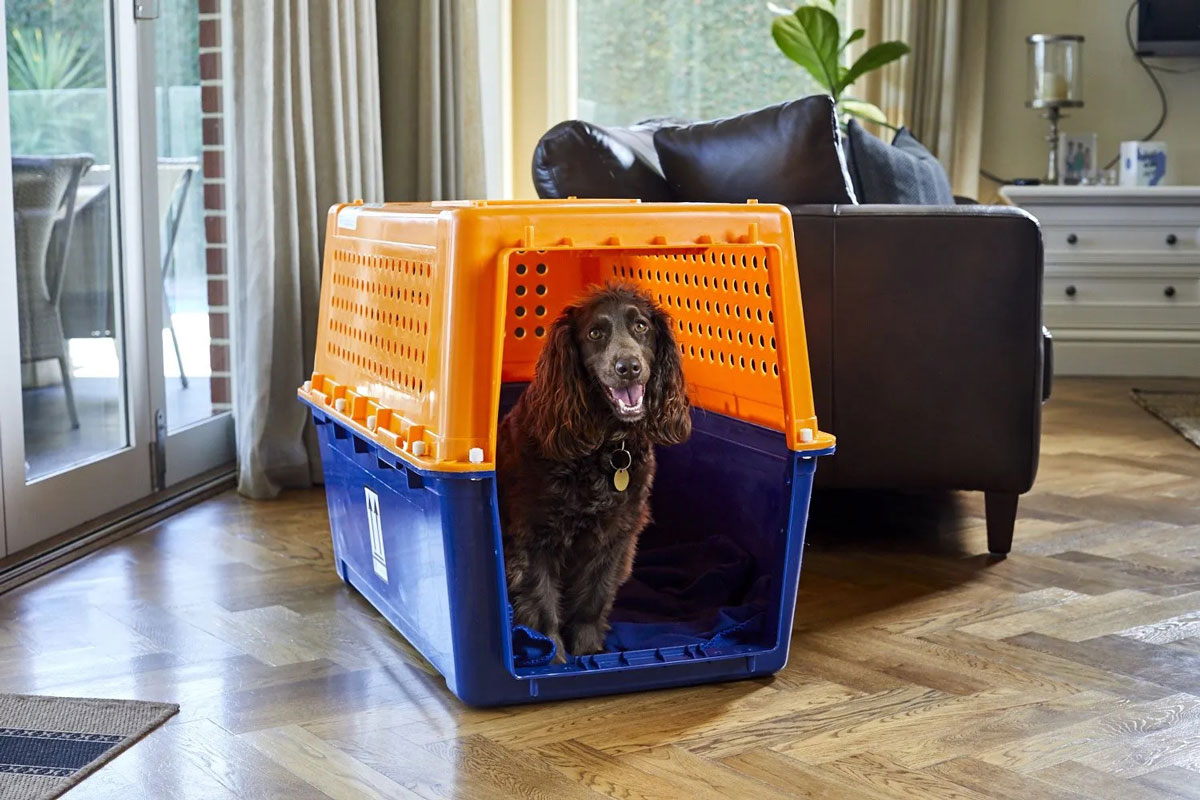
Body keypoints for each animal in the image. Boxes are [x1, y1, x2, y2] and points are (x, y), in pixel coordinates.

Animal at [494, 284, 691, 662]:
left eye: (641, 326)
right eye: (595, 334)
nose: (628, 367)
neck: (606, 448)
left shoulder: (614, 535)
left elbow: (592, 600)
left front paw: (588, 652)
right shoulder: (535, 539)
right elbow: (543, 605)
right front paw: (555, 659)